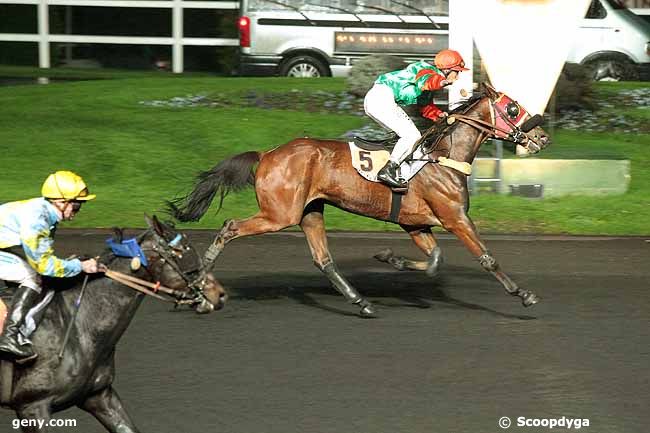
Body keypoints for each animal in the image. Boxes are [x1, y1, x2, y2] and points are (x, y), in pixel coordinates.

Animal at [167, 82, 548, 318]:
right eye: (513, 108)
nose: (542, 137)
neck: (443, 157)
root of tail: (268, 154)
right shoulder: (455, 218)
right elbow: (487, 259)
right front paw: (524, 294)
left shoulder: (416, 224)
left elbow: (435, 259)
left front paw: (390, 258)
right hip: (279, 214)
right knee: (229, 227)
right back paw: (198, 284)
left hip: (310, 211)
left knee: (324, 260)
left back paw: (361, 302)